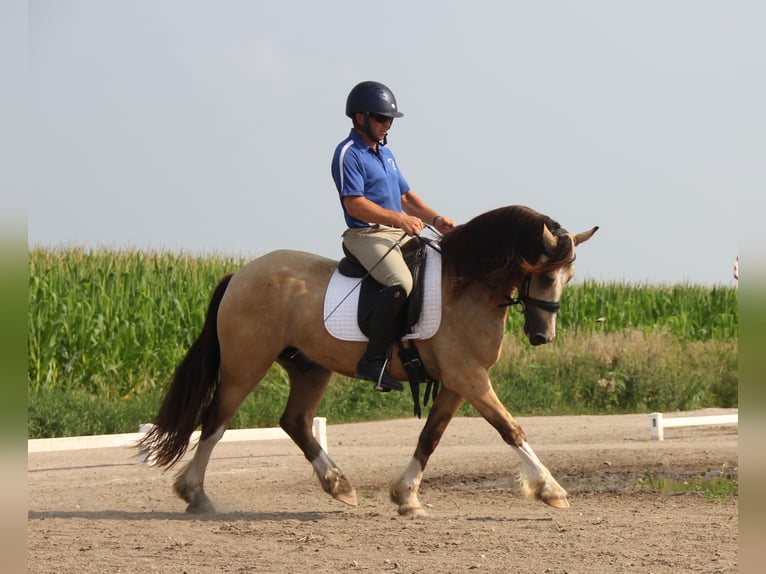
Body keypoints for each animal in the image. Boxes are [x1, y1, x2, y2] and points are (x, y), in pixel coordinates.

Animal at [141, 206, 604, 516]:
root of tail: (239, 275)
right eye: (545, 274)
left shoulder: (457, 382)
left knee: (295, 422)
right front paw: (551, 490)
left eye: (569, 278)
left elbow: (430, 437)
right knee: (215, 421)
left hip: (310, 368)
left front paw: (407, 497)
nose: (542, 337)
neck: (466, 286)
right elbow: (510, 428)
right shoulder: (469, 377)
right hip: (246, 364)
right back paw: (195, 494)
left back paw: (339, 485)